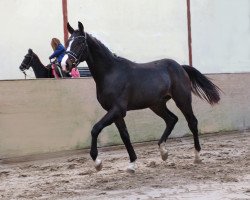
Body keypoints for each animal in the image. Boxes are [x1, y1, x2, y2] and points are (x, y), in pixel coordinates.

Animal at [62, 21, 221, 172]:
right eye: (67, 42)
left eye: (80, 42)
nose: (65, 64)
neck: (111, 73)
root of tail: (180, 67)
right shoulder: (116, 113)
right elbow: (125, 136)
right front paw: (132, 164)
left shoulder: (118, 109)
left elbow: (95, 129)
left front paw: (97, 163)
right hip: (157, 105)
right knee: (171, 119)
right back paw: (163, 152)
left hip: (182, 100)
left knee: (192, 122)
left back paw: (197, 156)